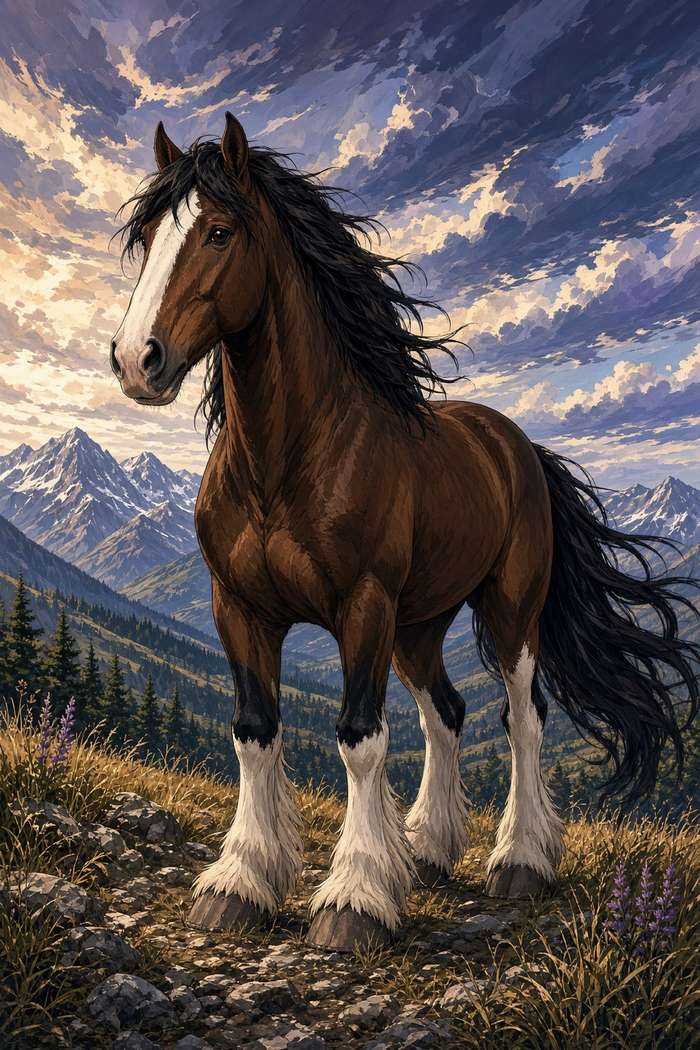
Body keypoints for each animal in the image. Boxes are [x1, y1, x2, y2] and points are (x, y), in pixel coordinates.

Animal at [111, 113, 700, 951]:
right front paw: (243, 883)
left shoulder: (363, 605)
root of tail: (518, 445)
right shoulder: (239, 609)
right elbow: (255, 732)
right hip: (418, 624)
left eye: (219, 232)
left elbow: (360, 737)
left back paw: (518, 859)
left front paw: (353, 898)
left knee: (522, 718)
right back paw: (426, 848)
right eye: (150, 233)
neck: (287, 462)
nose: (137, 360)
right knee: (446, 713)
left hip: (506, 612)